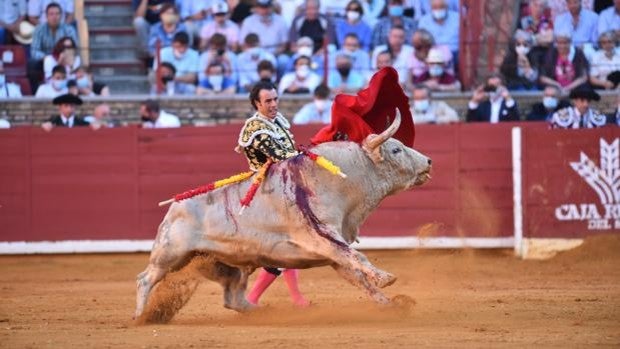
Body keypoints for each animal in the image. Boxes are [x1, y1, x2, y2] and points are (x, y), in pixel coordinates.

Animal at [133, 110, 434, 322]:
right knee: (146, 278)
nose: (429, 162)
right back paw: (140, 316)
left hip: (227, 262)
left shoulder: (333, 252)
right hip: (171, 253)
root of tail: (174, 207)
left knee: (233, 297)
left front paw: (391, 304)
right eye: (396, 149)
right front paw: (386, 278)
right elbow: (358, 259)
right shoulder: (323, 236)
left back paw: (261, 311)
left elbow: (358, 276)